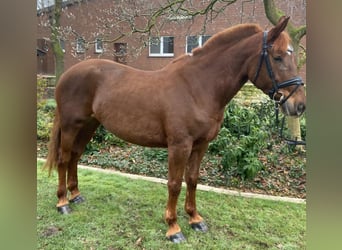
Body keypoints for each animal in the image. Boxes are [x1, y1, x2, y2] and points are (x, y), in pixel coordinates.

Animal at [44, 16, 304, 243]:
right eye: (278, 57)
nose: (299, 105)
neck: (197, 87)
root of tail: (66, 75)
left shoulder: (201, 144)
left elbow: (192, 179)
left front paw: (195, 219)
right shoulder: (180, 145)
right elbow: (174, 184)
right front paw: (173, 228)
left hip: (89, 125)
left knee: (75, 156)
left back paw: (76, 196)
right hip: (70, 126)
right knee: (64, 159)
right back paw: (63, 203)